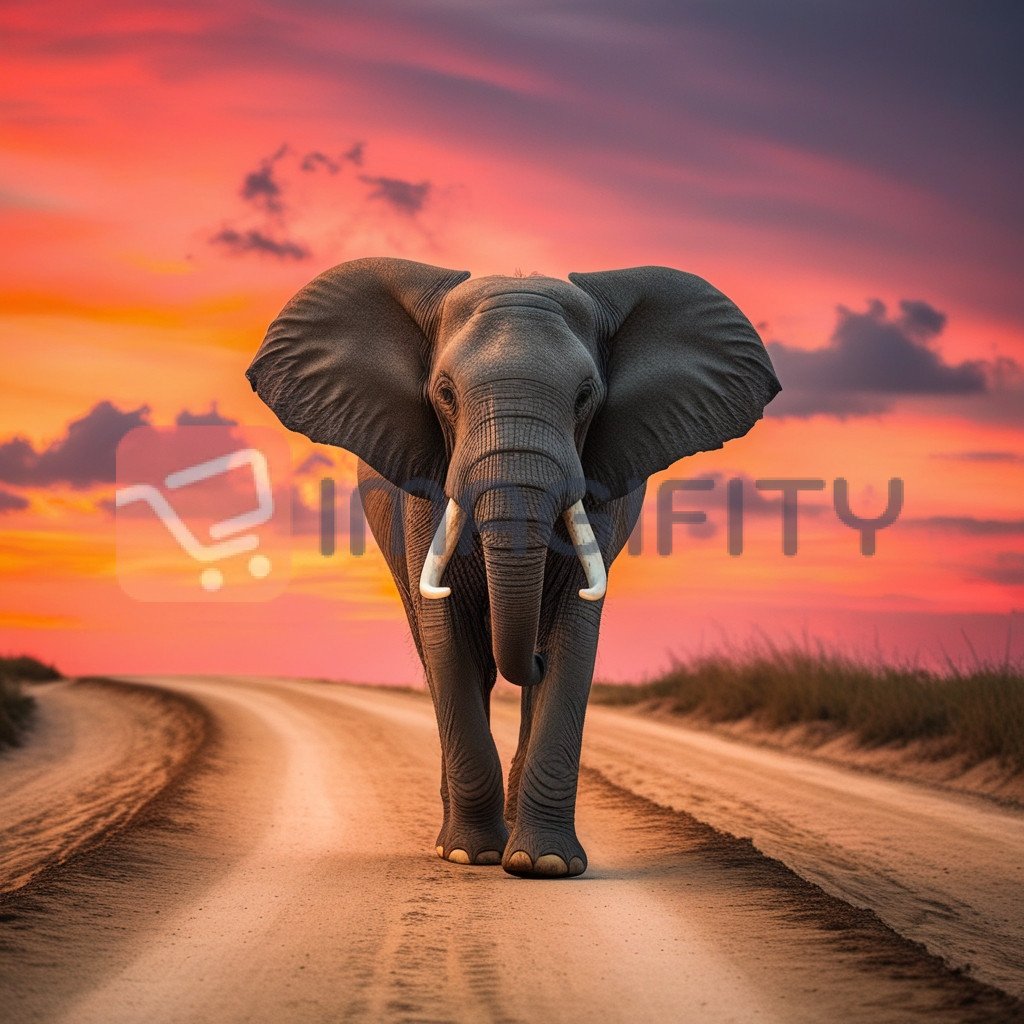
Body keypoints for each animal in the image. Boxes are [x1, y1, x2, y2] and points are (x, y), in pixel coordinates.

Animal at [245, 258, 774, 880]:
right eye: (445, 394)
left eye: (585, 396)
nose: (532, 660)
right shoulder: (424, 487)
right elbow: (448, 635)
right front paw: (469, 856)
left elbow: (574, 630)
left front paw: (543, 864)